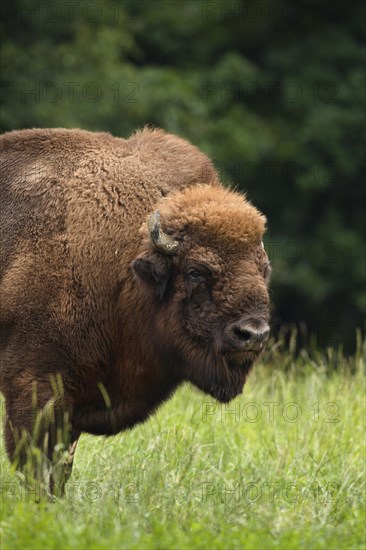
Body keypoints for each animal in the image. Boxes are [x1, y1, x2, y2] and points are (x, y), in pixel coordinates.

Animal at [0, 128, 268, 496]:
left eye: (264, 270)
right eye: (196, 271)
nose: (252, 333)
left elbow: (61, 467)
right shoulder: (33, 385)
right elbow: (38, 465)